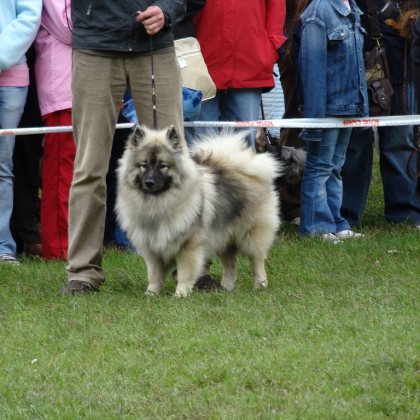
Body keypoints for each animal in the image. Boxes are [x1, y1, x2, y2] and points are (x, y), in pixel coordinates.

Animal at [115, 124, 282, 296]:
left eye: (163, 166)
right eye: (144, 165)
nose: (149, 182)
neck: (158, 203)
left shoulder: (188, 247)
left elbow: (184, 274)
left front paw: (180, 294)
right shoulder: (153, 249)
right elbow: (154, 276)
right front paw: (151, 294)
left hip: (251, 235)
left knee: (257, 261)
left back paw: (260, 285)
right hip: (223, 237)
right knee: (230, 264)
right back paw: (226, 289)